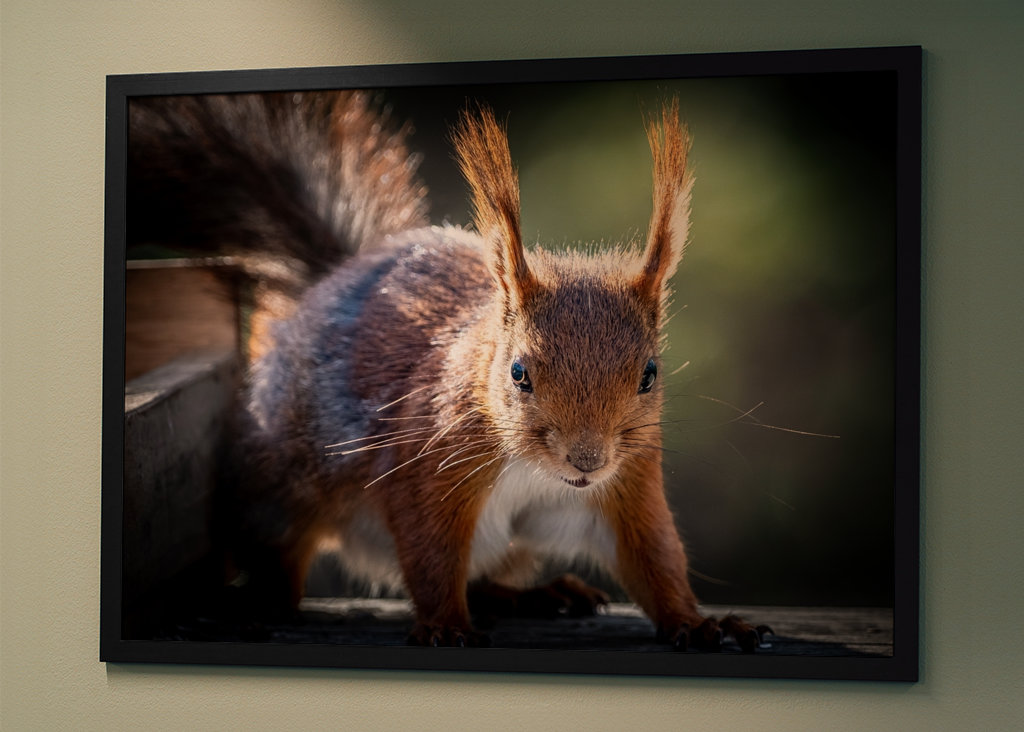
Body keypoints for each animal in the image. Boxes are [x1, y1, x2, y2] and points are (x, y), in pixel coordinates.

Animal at [128, 89, 767, 651]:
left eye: (649, 375)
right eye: (518, 372)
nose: (586, 461)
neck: (537, 471)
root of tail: (326, 283)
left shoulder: (629, 482)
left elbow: (654, 560)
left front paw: (698, 624)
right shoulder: (428, 461)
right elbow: (430, 551)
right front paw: (444, 627)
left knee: (487, 578)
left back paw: (537, 595)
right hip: (278, 489)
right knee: (279, 558)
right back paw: (261, 599)